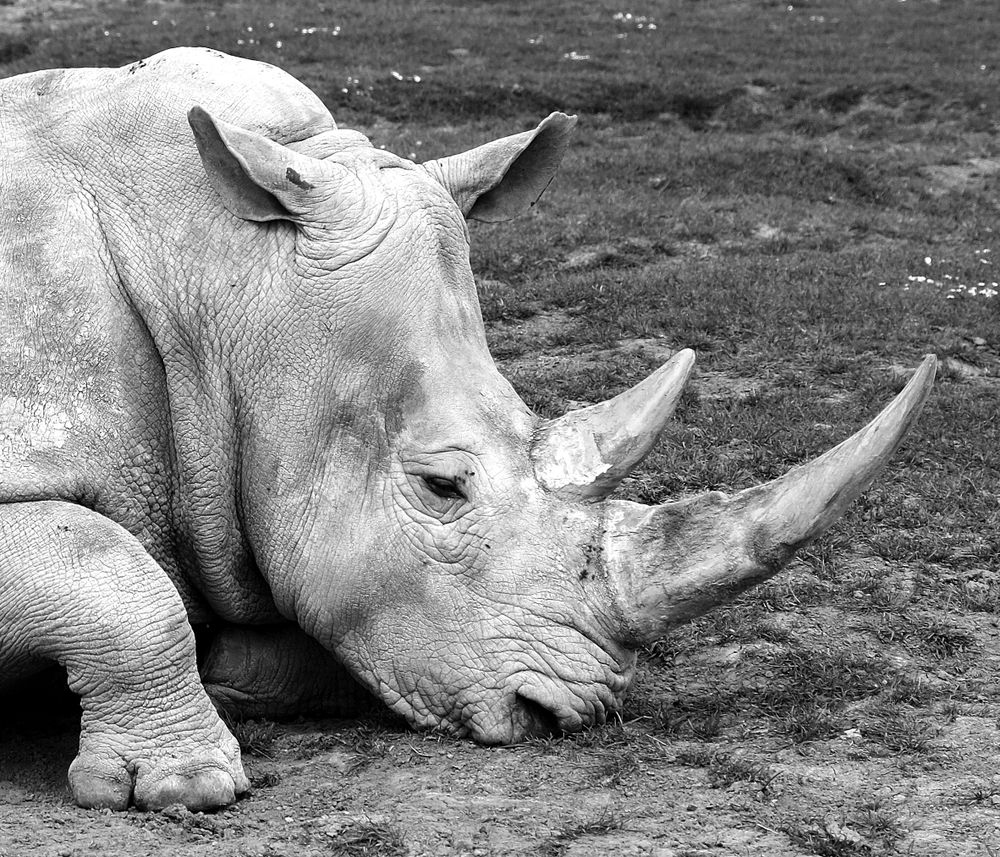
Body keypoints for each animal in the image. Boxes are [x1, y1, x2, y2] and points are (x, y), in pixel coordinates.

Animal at [0, 47, 935, 811]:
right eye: (440, 485)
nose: (563, 714)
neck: (215, 265)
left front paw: (228, 675)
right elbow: (107, 566)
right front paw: (183, 786)